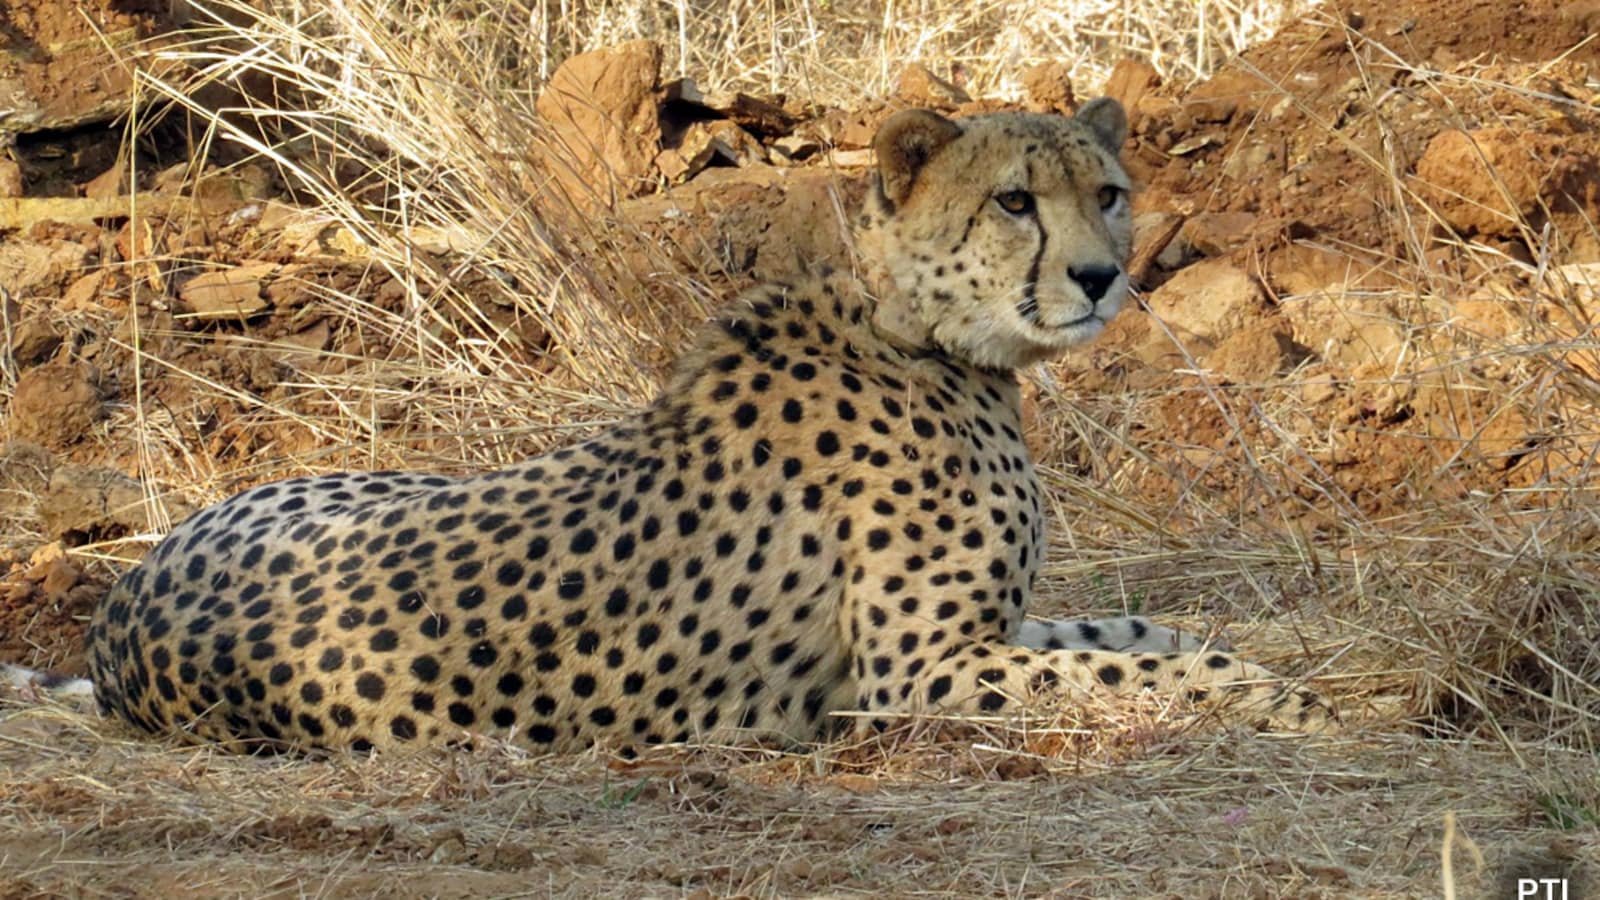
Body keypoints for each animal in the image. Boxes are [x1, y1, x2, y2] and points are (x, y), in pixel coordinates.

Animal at [83, 99, 1334, 754]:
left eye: (1107, 192)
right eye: (1014, 202)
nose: (1098, 276)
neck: (920, 331)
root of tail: (116, 619)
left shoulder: (985, 632)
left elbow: (1139, 632)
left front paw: (1253, 668)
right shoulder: (909, 674)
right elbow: (1126, 671)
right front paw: (1277, 700)